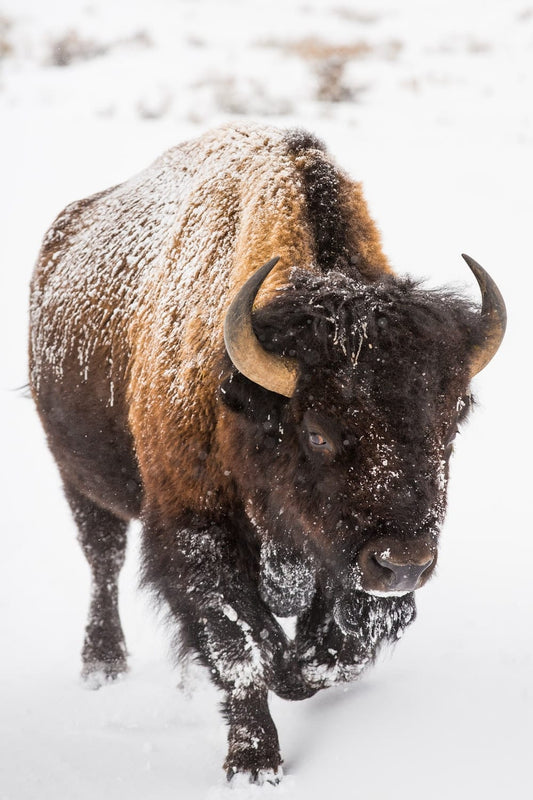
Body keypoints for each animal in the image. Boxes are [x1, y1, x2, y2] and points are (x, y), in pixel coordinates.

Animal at [28, 122, 502, 784]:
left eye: (452, 421)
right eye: (318, 432)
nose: (404, 563)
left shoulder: (341, 561)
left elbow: (336, 649)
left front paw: (297, 669)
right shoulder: (197, 530)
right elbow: (241, 647)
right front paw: (254, 763)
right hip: (80, 479)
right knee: (103, 560)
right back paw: (102, 665)